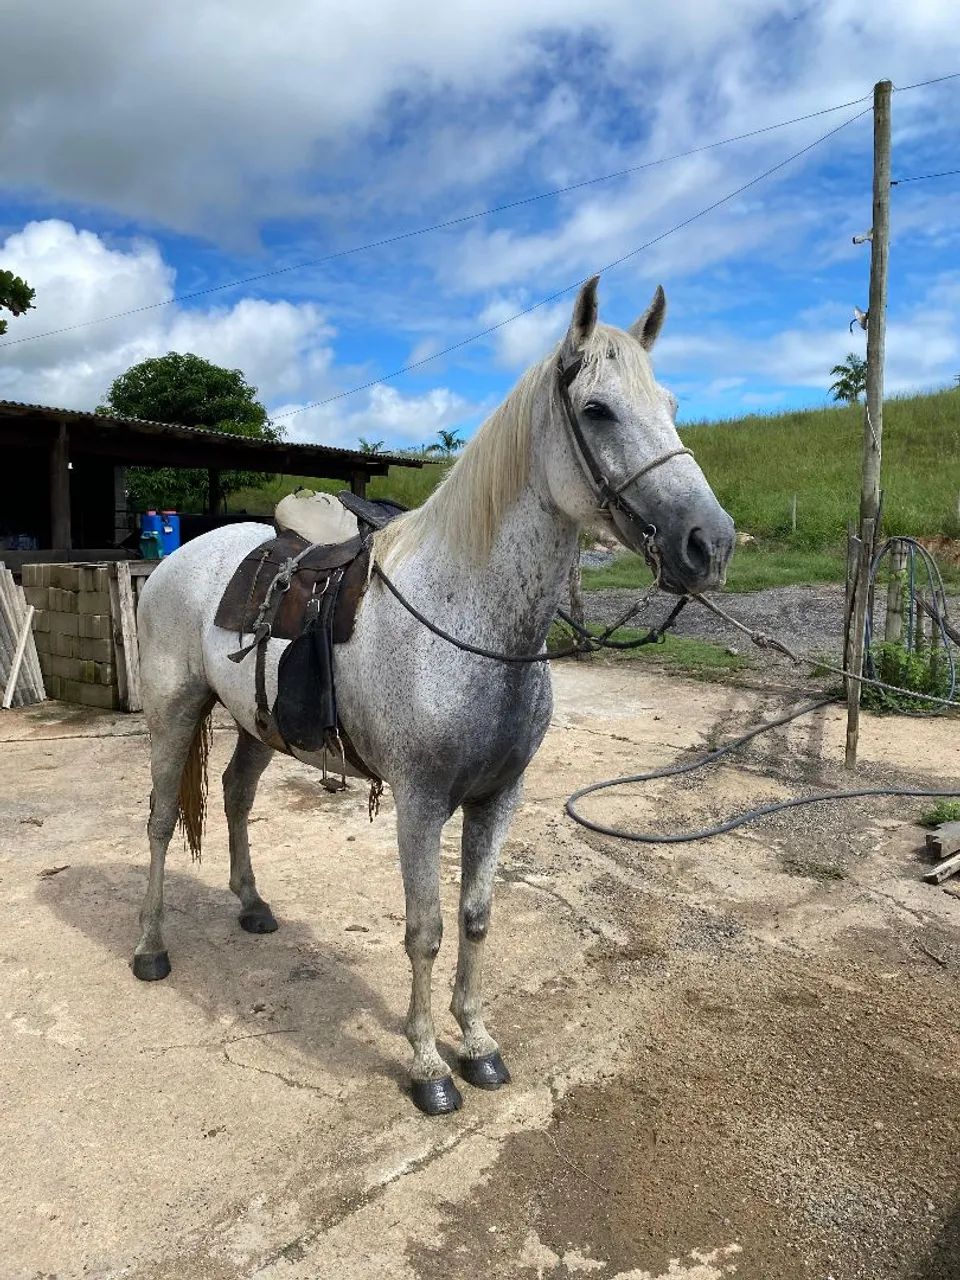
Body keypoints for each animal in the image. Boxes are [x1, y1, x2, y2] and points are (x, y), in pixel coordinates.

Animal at [132, 276, 734, 1114]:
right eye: (597, 410)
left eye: (672, 404)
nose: (709, 544)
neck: (467, 617)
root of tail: (180, 556)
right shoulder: (420, 802)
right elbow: (425, 930)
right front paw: (426, 1065)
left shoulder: (500, 795)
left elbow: (477, 917)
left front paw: (476, 1043)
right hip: (173, 711)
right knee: (161, 822)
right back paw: (151, 948)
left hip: (256, 726)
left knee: (235, 796)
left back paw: (251, 905)